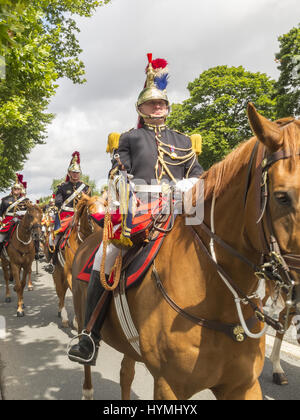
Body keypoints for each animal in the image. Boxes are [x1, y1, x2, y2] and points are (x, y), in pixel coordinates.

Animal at [52, 194, 105, 328]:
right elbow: (75, 292)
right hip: (58, 273)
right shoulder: (69, 273)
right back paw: (64, 316)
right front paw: (77, 320)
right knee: (61, 293)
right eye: (90, 215)